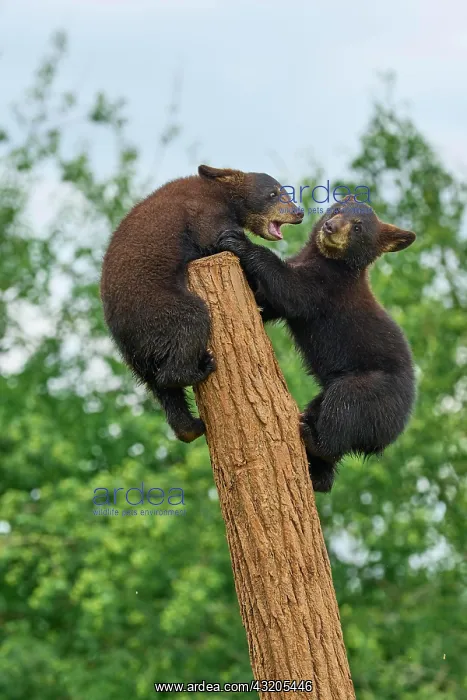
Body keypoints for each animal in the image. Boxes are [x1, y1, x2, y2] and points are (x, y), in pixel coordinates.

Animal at [100, 165, 303, 442]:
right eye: (274, 193)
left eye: (285, 192)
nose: (298, 212)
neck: (223, 194)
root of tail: (123, 337)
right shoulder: (204, 214)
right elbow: (213, 240)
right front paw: (236, 244)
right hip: (157, 309)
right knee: (191, 322)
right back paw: (198, 368)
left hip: (139, 360)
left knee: (165, 393)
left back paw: (190, 426)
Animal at [216, 196, 416, 492]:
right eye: (337, 210)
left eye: (358, 227)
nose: (331, 226)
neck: (328, 261)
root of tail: (390, 435)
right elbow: (267, 301)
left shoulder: (327, 287)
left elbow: (291, 289)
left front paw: (239, 241)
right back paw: (317, 473)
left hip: (373, 390)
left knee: (343, 407)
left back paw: (314, 440)